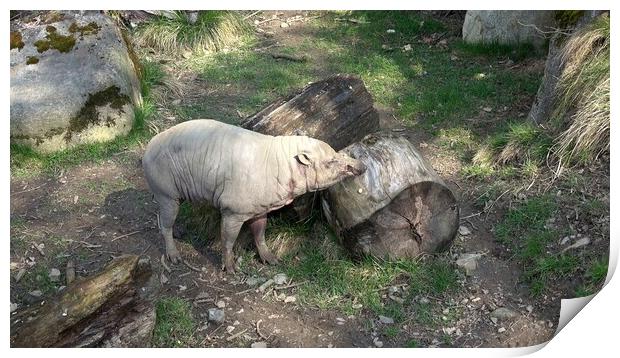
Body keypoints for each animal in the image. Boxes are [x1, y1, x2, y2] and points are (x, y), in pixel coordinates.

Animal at [142, 119, 364, 272]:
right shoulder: (232, 210)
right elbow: (228, 240)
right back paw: (174, 257)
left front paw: (272, 259)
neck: (282, 166)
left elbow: (260, 233)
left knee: (164, 217)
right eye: (330, 161)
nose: (361, 166)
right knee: (165, 224)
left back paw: (179, 233)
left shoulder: (259, 208)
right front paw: (230, 269)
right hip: (166, 192)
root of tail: (147, 148)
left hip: (171, 195)